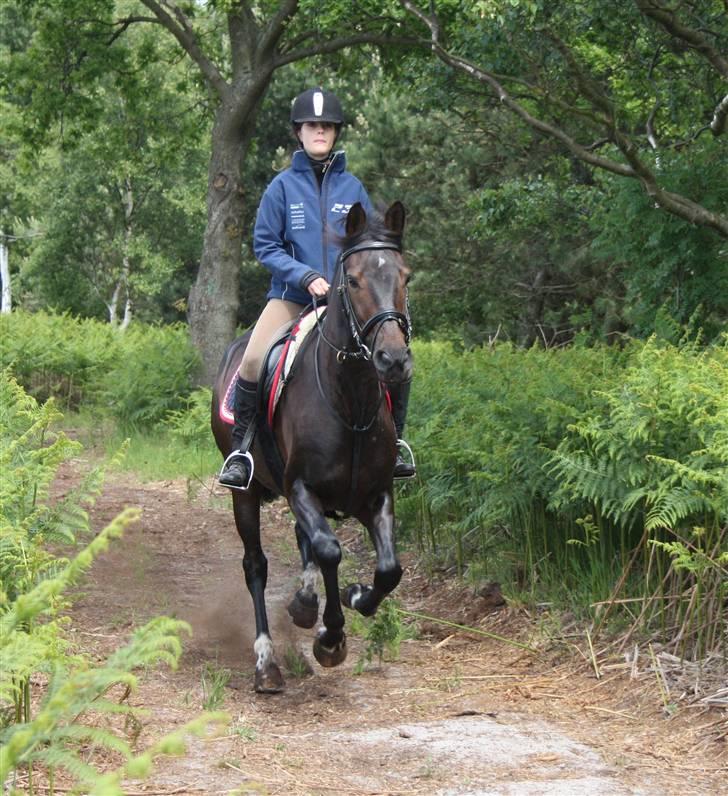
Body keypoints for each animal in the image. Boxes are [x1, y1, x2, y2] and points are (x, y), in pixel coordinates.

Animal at [212, 201, 416, 692]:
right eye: (354, 280)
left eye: (406, 276)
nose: (393, 361)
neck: (351, 401)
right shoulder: (301, 488)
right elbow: (329, 552)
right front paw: (331, 638)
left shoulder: (377, 494)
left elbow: (389, 569)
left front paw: (356, 596)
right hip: (245, 495)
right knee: (256, 565)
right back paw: (267, 663)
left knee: (303, 542)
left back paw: (305, 604)